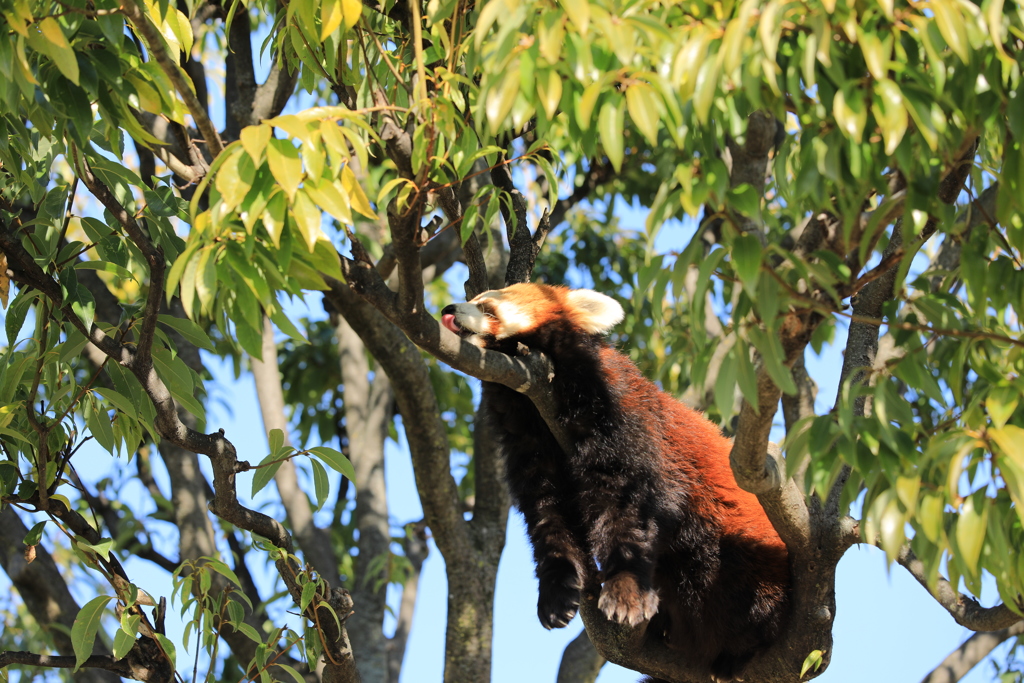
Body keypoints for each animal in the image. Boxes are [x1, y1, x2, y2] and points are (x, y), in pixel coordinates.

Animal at [440, 284, 790, 683]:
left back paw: (741, 647)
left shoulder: (618, 414)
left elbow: (628, 504)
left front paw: (626, 591)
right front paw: (557, 593)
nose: (449, 309)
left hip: (743, 553)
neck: (535, 404)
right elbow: (547, 515)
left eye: (487, 306)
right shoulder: (527, 444)